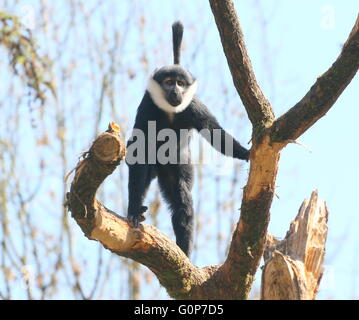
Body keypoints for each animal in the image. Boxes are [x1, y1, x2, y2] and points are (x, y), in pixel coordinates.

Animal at [126, 21, 250, 256]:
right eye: (168, 82)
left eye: (181, 83)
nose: (176, 91)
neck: (170, 111)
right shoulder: (148, 106)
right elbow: (138, 150)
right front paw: (133, 210)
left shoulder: (193, 106)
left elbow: (215, 132)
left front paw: (246, 153)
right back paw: (139, 210)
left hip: (179, 165)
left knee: (182, 200)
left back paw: (184, 249)